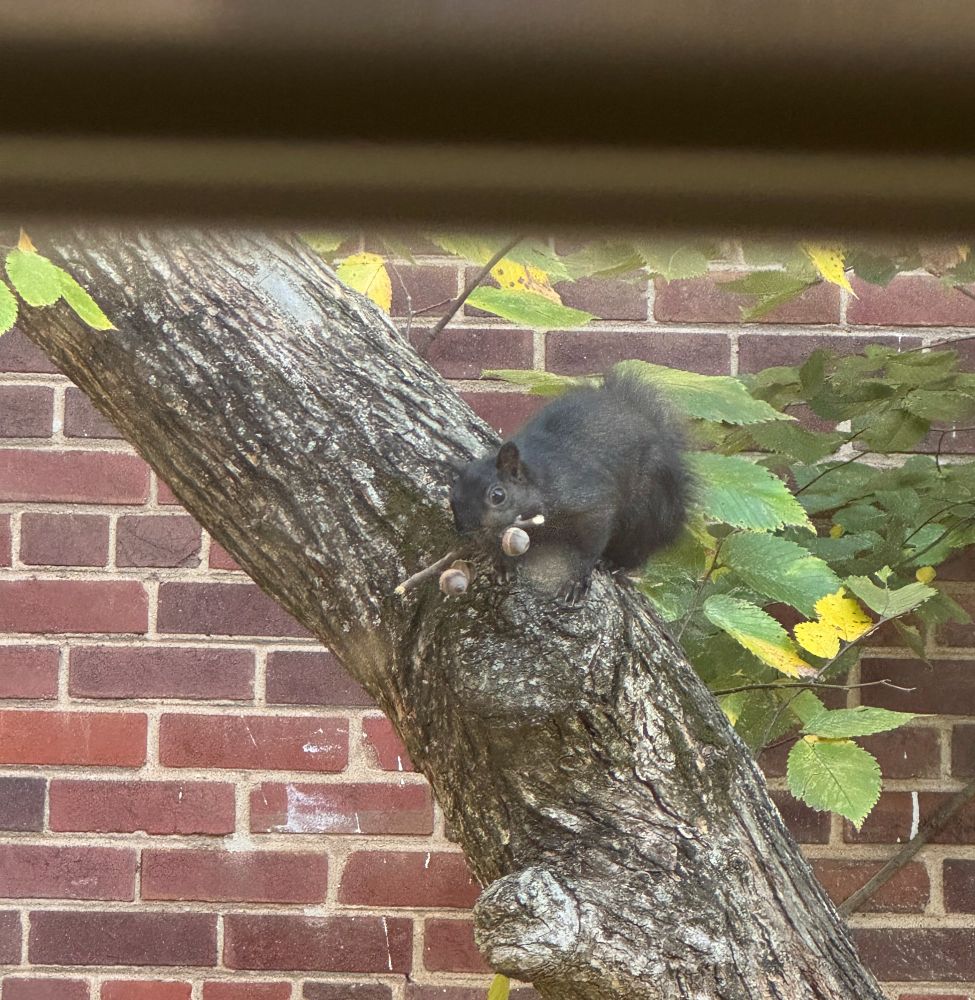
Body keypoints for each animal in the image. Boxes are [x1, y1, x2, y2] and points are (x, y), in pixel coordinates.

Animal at [450, 369, 691, 606]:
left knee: (638, 550)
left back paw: (615, 562)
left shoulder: (589, 500)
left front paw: (577, 579)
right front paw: (504, 562)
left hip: (646, 510)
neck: (540, 478)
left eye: (498, 495)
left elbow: (591, 543)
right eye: (453, 497)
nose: (465, 529)